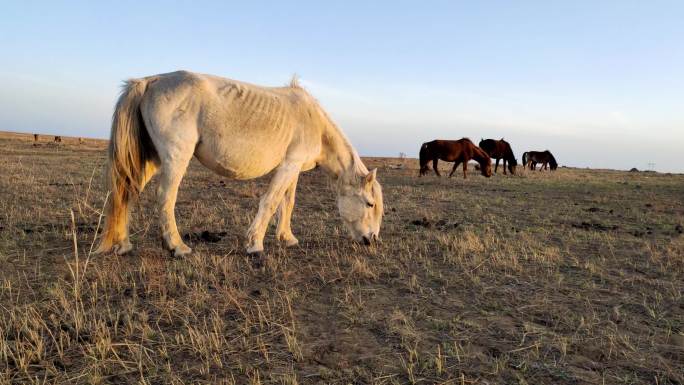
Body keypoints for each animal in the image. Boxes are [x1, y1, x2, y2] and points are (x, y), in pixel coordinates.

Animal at [95, 70, 384, 256]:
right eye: (369, 204)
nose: (372, 240)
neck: (314, 122)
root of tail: (150, 81)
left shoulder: (293, 169)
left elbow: (287, 203)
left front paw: (287, 238)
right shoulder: (288, 165)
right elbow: (270, 202)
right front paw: (254, 244)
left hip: (151, 160)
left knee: (126, 192)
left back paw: (122, 245)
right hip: (176, 158)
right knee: (165, 197)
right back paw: (178, 247)